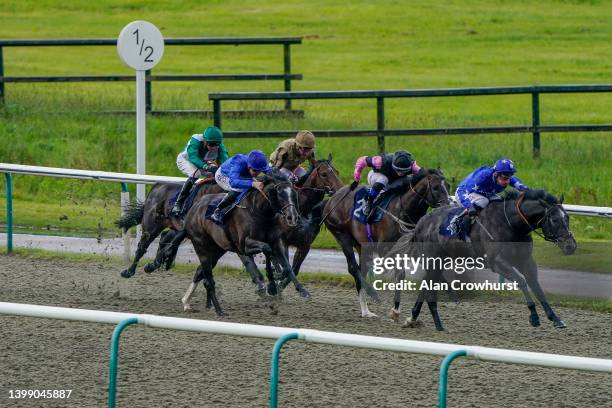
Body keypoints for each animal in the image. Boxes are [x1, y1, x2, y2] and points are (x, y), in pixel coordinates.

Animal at [326, 169, 450, 318]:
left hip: (362, 245)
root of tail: (332, 198)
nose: (447, 207)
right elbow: (398, 272)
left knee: (361, 270)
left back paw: (366, 311)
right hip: (342, 235)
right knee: (354, 268)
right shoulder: (385, 249)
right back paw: (373, 295)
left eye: (448, 186)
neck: (402, 210)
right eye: (436, 188)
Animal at [404, 190, 576, 330]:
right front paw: (534, 316)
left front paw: (556, 319)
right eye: (554, 220)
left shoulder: (526, 261)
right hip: (433, 260)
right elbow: (521, 281)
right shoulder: (497, 262)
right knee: (427, 285)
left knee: (426, 286)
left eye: (567, 217)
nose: (571, 246)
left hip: (440, 261)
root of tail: (421, 223)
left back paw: (415, 319)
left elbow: (536, 286)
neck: (511, 223)